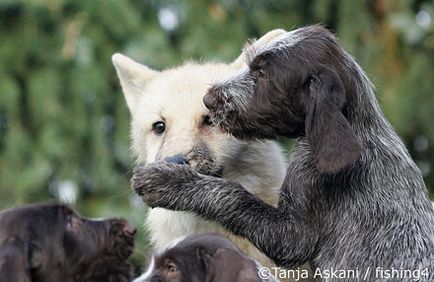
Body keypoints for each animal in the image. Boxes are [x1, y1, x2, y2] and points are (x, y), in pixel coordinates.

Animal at [132, 25, 434, 280]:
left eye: (263, 74)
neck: (358, 126)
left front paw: (171, 181)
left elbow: (232, 195)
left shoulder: (293, 234)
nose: (208, 99)